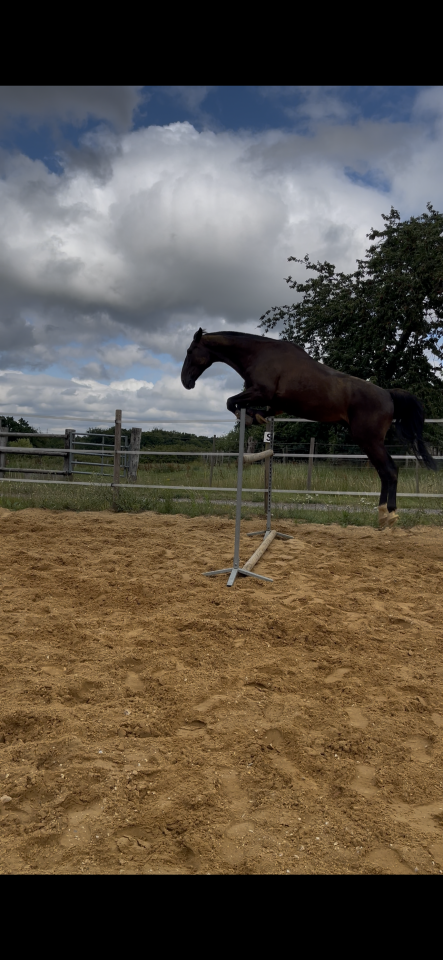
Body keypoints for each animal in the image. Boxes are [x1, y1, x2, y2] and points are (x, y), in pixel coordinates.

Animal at [181, 328, 437, 528]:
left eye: (190, 352)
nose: (185, 382)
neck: (259, 354)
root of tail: (388, 395)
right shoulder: (276, 405)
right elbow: (256, 410)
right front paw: (255, 418)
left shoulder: (261, 392)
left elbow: (230, 401)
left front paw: (246, 416)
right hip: (371, 441)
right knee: (386, 471)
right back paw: (384, 514)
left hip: (369, 439)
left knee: (389, 470)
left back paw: (388, 515)